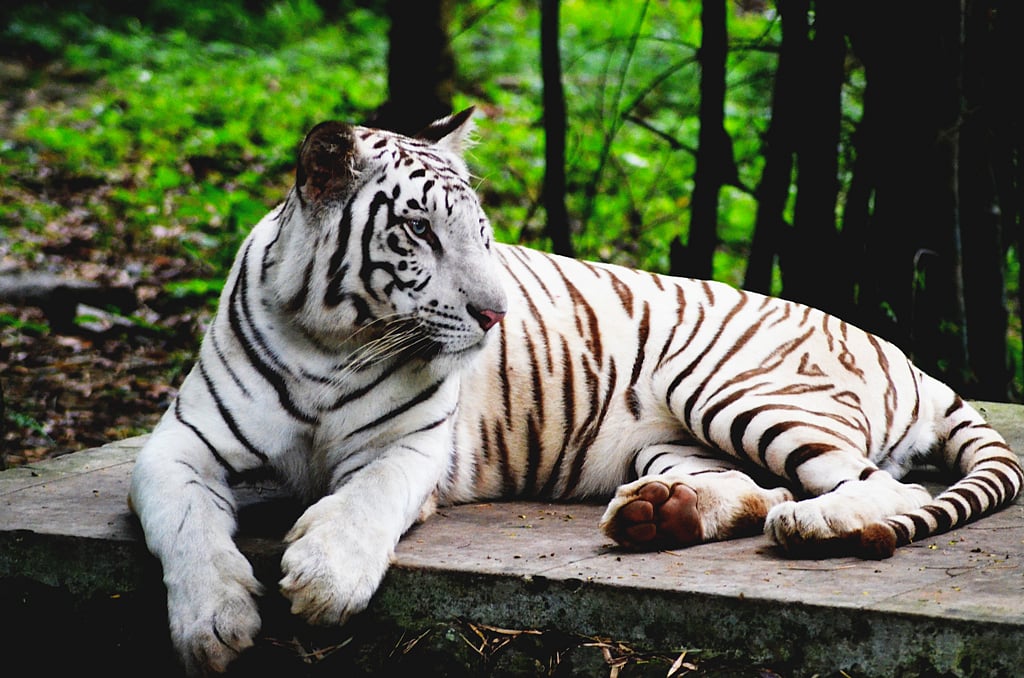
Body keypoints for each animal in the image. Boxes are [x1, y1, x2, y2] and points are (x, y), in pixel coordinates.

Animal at [129, 107, 1024, 675]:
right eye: (418, 231)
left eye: (482, 234)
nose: (496, 314)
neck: (329, 341)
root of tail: (906, 355)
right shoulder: (177, 446)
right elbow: (186, 525)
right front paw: (212, 622)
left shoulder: (410, 448)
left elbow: (363, 503)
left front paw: (322, 580)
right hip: (676, 439)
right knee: (754, 488)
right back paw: (657, 515)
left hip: (731, 389)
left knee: (879, 491)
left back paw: (814, 524)